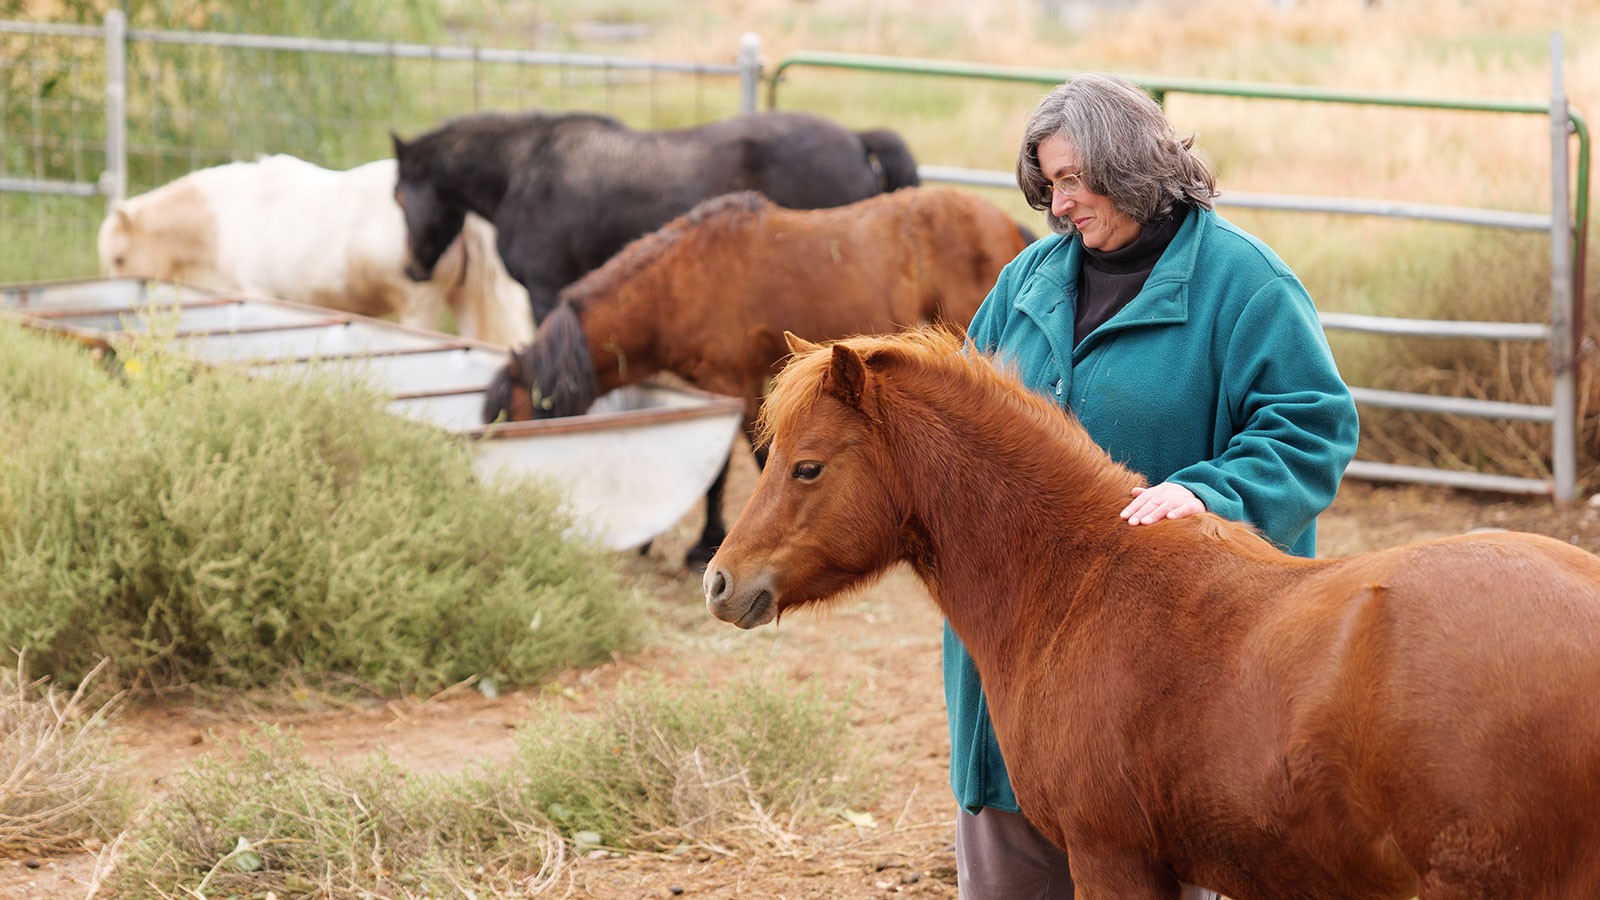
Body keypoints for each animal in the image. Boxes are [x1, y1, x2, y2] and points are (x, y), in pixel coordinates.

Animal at [97, 155, 534, 347]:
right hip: (466, 301)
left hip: (420, 306)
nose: (123, 302)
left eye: (119, 257)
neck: (231, 213)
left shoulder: (260, 294)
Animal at [481, 187, 1033, 570]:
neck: (679, 281)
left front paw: (704, 545)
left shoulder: (730, 382)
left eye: (517, 417)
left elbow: (730, 465)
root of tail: (1006, 225)